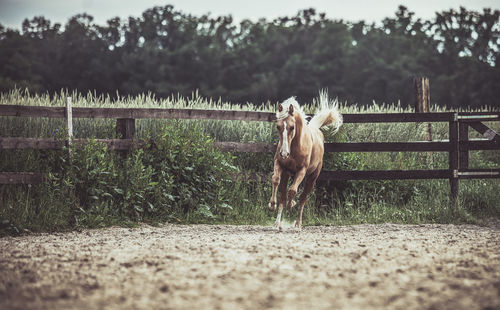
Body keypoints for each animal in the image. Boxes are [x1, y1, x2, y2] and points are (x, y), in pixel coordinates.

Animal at [268, 91, 342, 229]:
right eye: (278, 127)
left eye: (292, 127)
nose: (284, 153)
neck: (295, 146)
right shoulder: (279, 164)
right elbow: (275, 180)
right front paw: (271, 205)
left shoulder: (301, 170)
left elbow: (293, 191)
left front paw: (291, 204)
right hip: (286, 174)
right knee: (283, 196)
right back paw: (277, 222)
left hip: (312, 178)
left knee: (303, 198)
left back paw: (298, 223)